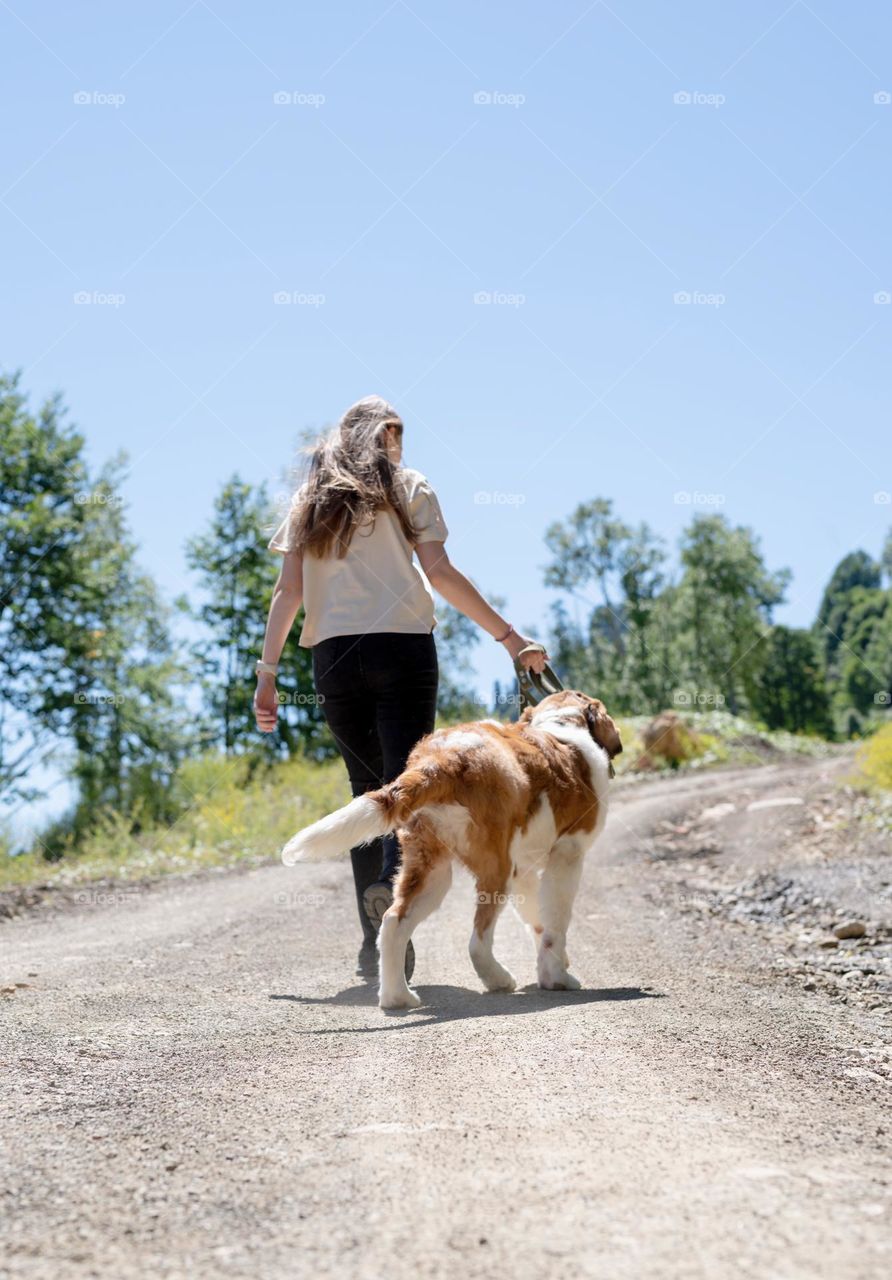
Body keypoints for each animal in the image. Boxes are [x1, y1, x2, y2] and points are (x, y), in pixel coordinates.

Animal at [281, 691, 621, 1008]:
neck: (560, 722)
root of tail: (440, 761)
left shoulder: (524, 870)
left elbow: (537, 917)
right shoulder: (567, 855)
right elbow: (555, 922)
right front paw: (557, 977)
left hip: (431, 868)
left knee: (393, 922)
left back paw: (397, 997)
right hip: (495, 868)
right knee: (477, 941)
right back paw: (498, 979)